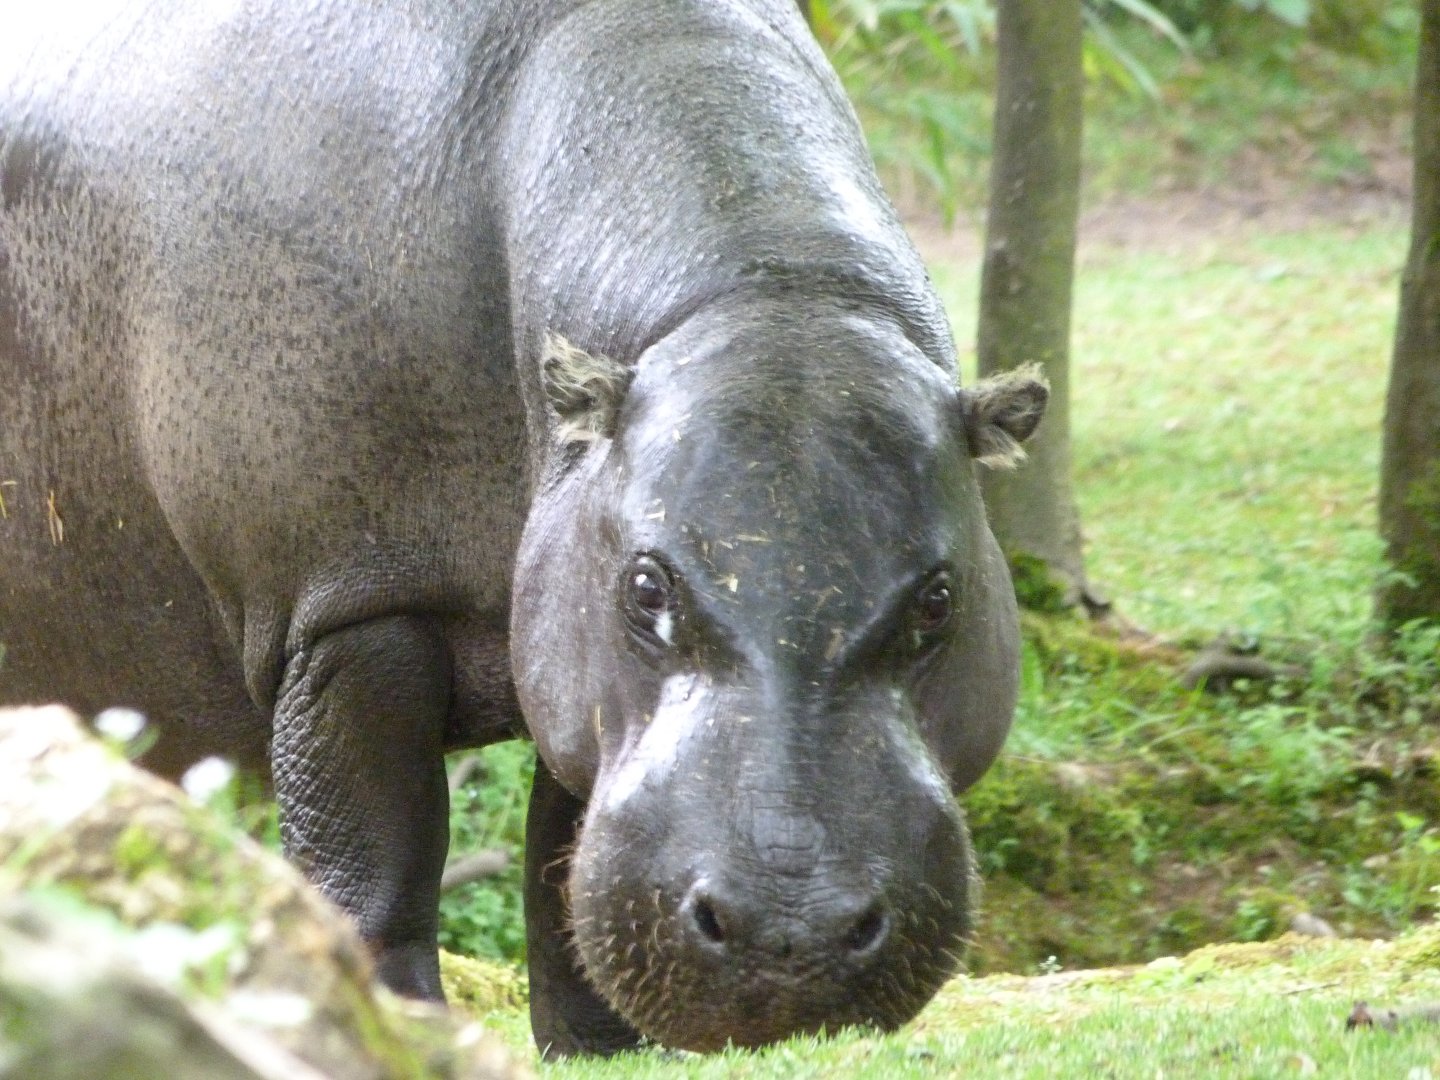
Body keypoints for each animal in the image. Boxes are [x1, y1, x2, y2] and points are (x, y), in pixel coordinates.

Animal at [0, 0, 1047, 1057]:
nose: (787, 931)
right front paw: (395, 1027)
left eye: (940, 599)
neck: (771, 297)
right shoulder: (347, 606)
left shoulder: (568, 657)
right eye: (646, 585)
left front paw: (599, 1052)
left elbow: (561, 871)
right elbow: (376, 868)